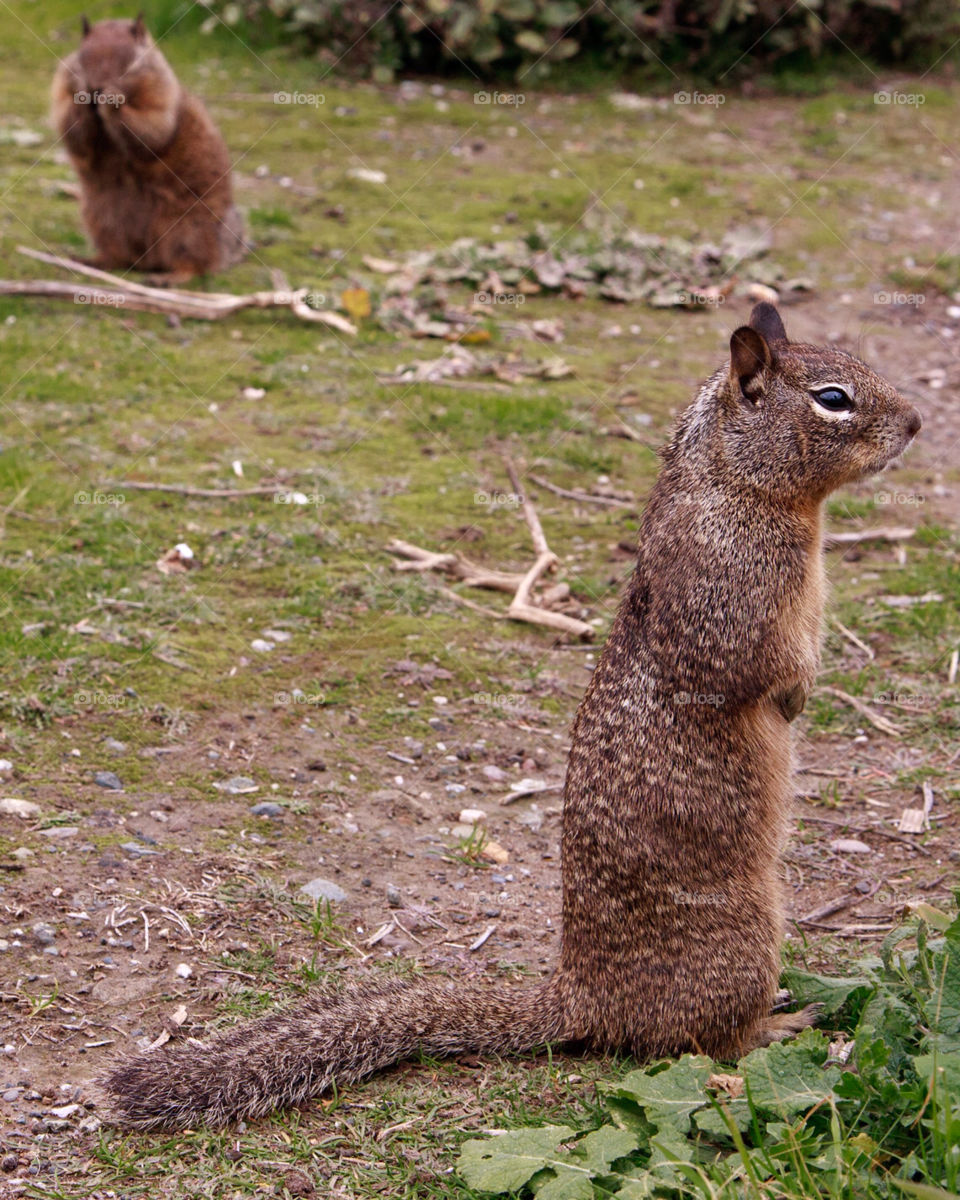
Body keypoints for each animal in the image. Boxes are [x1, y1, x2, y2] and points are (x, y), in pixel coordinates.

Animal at [50, 16, 246, 283]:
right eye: (80, 57)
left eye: (131, 63)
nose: (96, 88)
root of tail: (147, 259)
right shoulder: (61, 90)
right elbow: (69, 126)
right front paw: (81, 100)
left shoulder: (160, 94)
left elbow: (152, 127)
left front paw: (112, 101)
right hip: (100, 219)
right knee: (118, 257)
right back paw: (89, 260)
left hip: (189, 228)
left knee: (197, 266)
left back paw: (167, 278)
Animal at [99, 304, 921, 1128]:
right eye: (833, 398)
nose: (916, 423)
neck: (740, 486)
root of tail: (583, 998)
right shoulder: (737, 602)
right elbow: (768, 668)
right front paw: (799, 697)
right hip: (745, 942)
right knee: (700, 1042)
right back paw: (781, 1023)